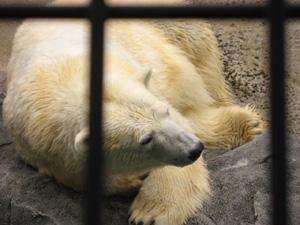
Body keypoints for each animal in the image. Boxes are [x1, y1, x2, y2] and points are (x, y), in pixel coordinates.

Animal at [2, 0, 264, 225]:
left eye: (165, 113)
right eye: (145, 139)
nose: (194, 149)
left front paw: (151, 212)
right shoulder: (41, 147)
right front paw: (131, 180)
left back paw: (246, 125)